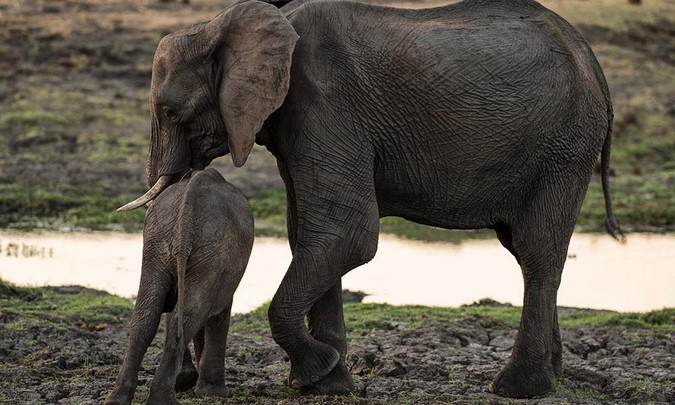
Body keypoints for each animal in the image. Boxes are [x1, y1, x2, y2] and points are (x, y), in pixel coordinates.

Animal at [105, 166, 254, 402]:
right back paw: (163, 400)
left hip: (158, 242)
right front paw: (213, 394)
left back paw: (118, 400)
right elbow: (218, 313)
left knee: (145, 315)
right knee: (190, 312)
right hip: (211, 249)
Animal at [120, 0, 624, 398]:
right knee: (526, 250)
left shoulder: (326, 106)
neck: (223, 24)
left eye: (169, 112)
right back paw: (553, 378)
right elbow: (308, 236)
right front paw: (328, 384)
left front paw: (318, 371)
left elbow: (346, 237)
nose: (184, 379)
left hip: (564, 147)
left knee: (538, 252)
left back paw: (518, 388)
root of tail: (593, 61)